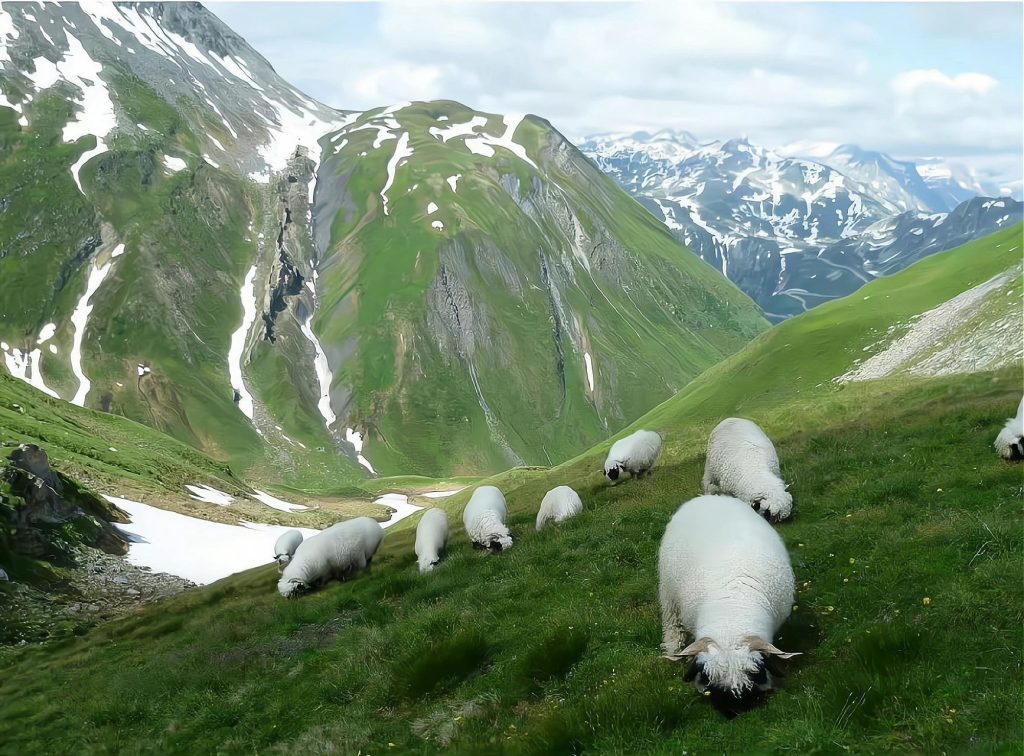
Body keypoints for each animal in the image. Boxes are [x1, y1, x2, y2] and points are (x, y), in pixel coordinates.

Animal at [655, 495, 798, 712]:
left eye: (755, 674)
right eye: (707, 677)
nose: (734, 710)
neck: (732, 616)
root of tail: (709, 497)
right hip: (668, 591)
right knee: (672, 623)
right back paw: (674, 649)